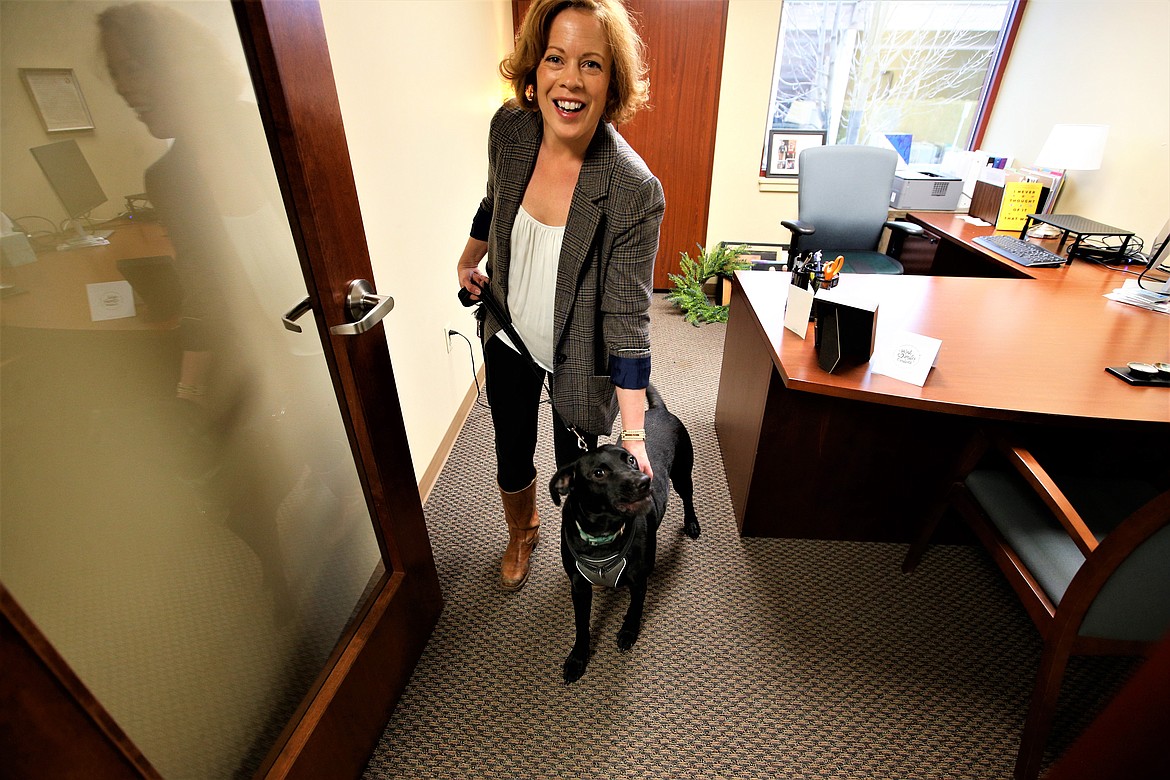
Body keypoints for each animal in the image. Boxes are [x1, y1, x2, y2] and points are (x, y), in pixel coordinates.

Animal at [549, 385, 697, 682]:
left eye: (631, 460)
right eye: (598, 473)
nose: (644, 481)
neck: (603, 536)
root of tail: (658, 410)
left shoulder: (639, 580)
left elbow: (634, 609)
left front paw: (629, 632)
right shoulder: (579, 587)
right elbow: (581, 625)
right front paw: (578, 658)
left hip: (682, 474)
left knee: (688, 497)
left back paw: (692, 523)